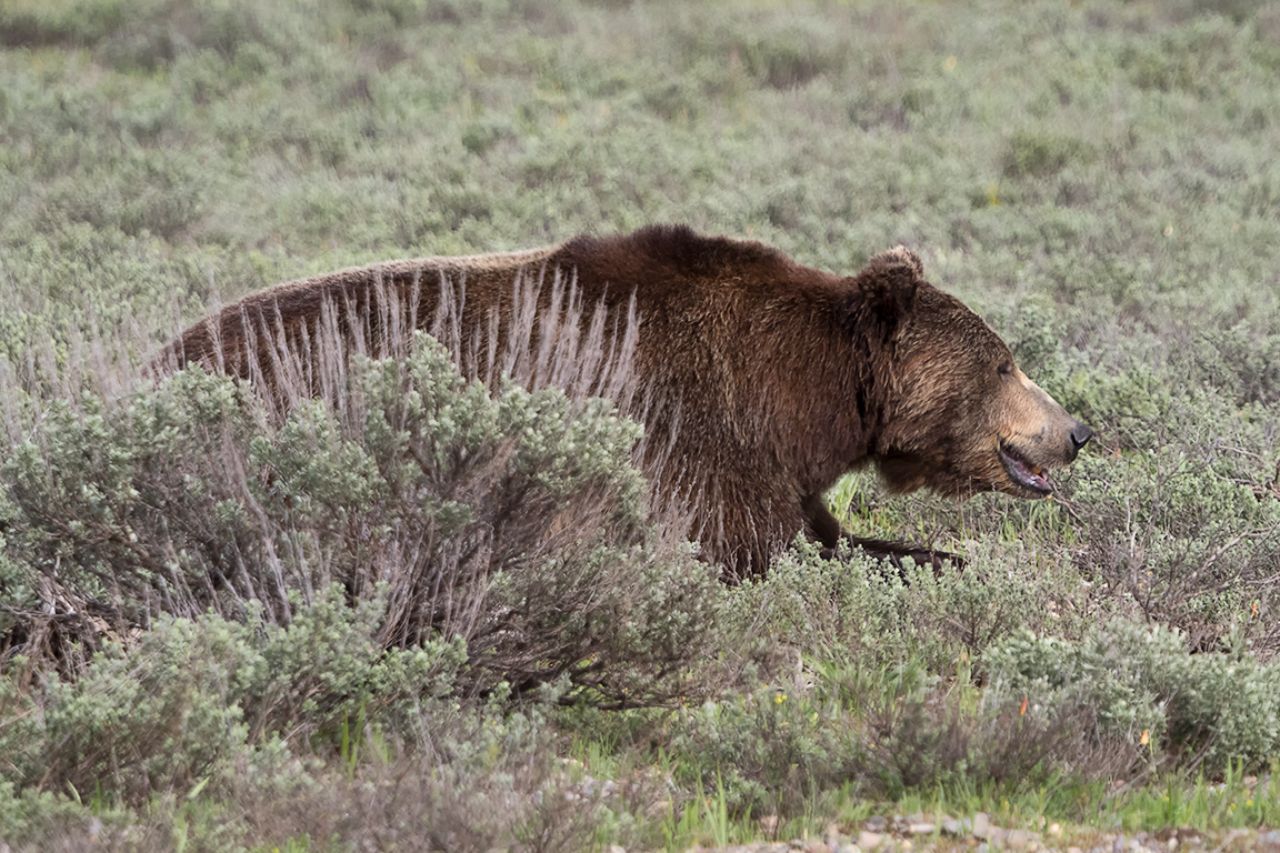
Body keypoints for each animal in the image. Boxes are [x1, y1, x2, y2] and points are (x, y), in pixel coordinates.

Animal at [161, 225, 1093, 577]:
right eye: (1006, 363)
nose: (1075, 430)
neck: (803, 398)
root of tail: (155, 358)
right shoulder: (691, 435)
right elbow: (743, 544)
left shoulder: (783, 469)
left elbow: (838, 539)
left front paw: (949, 561)